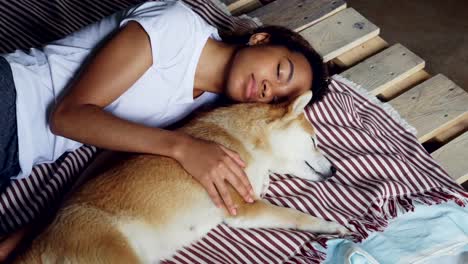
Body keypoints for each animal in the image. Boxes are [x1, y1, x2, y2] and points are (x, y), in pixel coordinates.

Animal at [15, 90, 348, 262]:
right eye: (315, 140)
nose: (334, 170)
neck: (242, 139)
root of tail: (40, 244)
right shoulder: (244, 208)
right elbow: (298, 216)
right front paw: (332, 226)